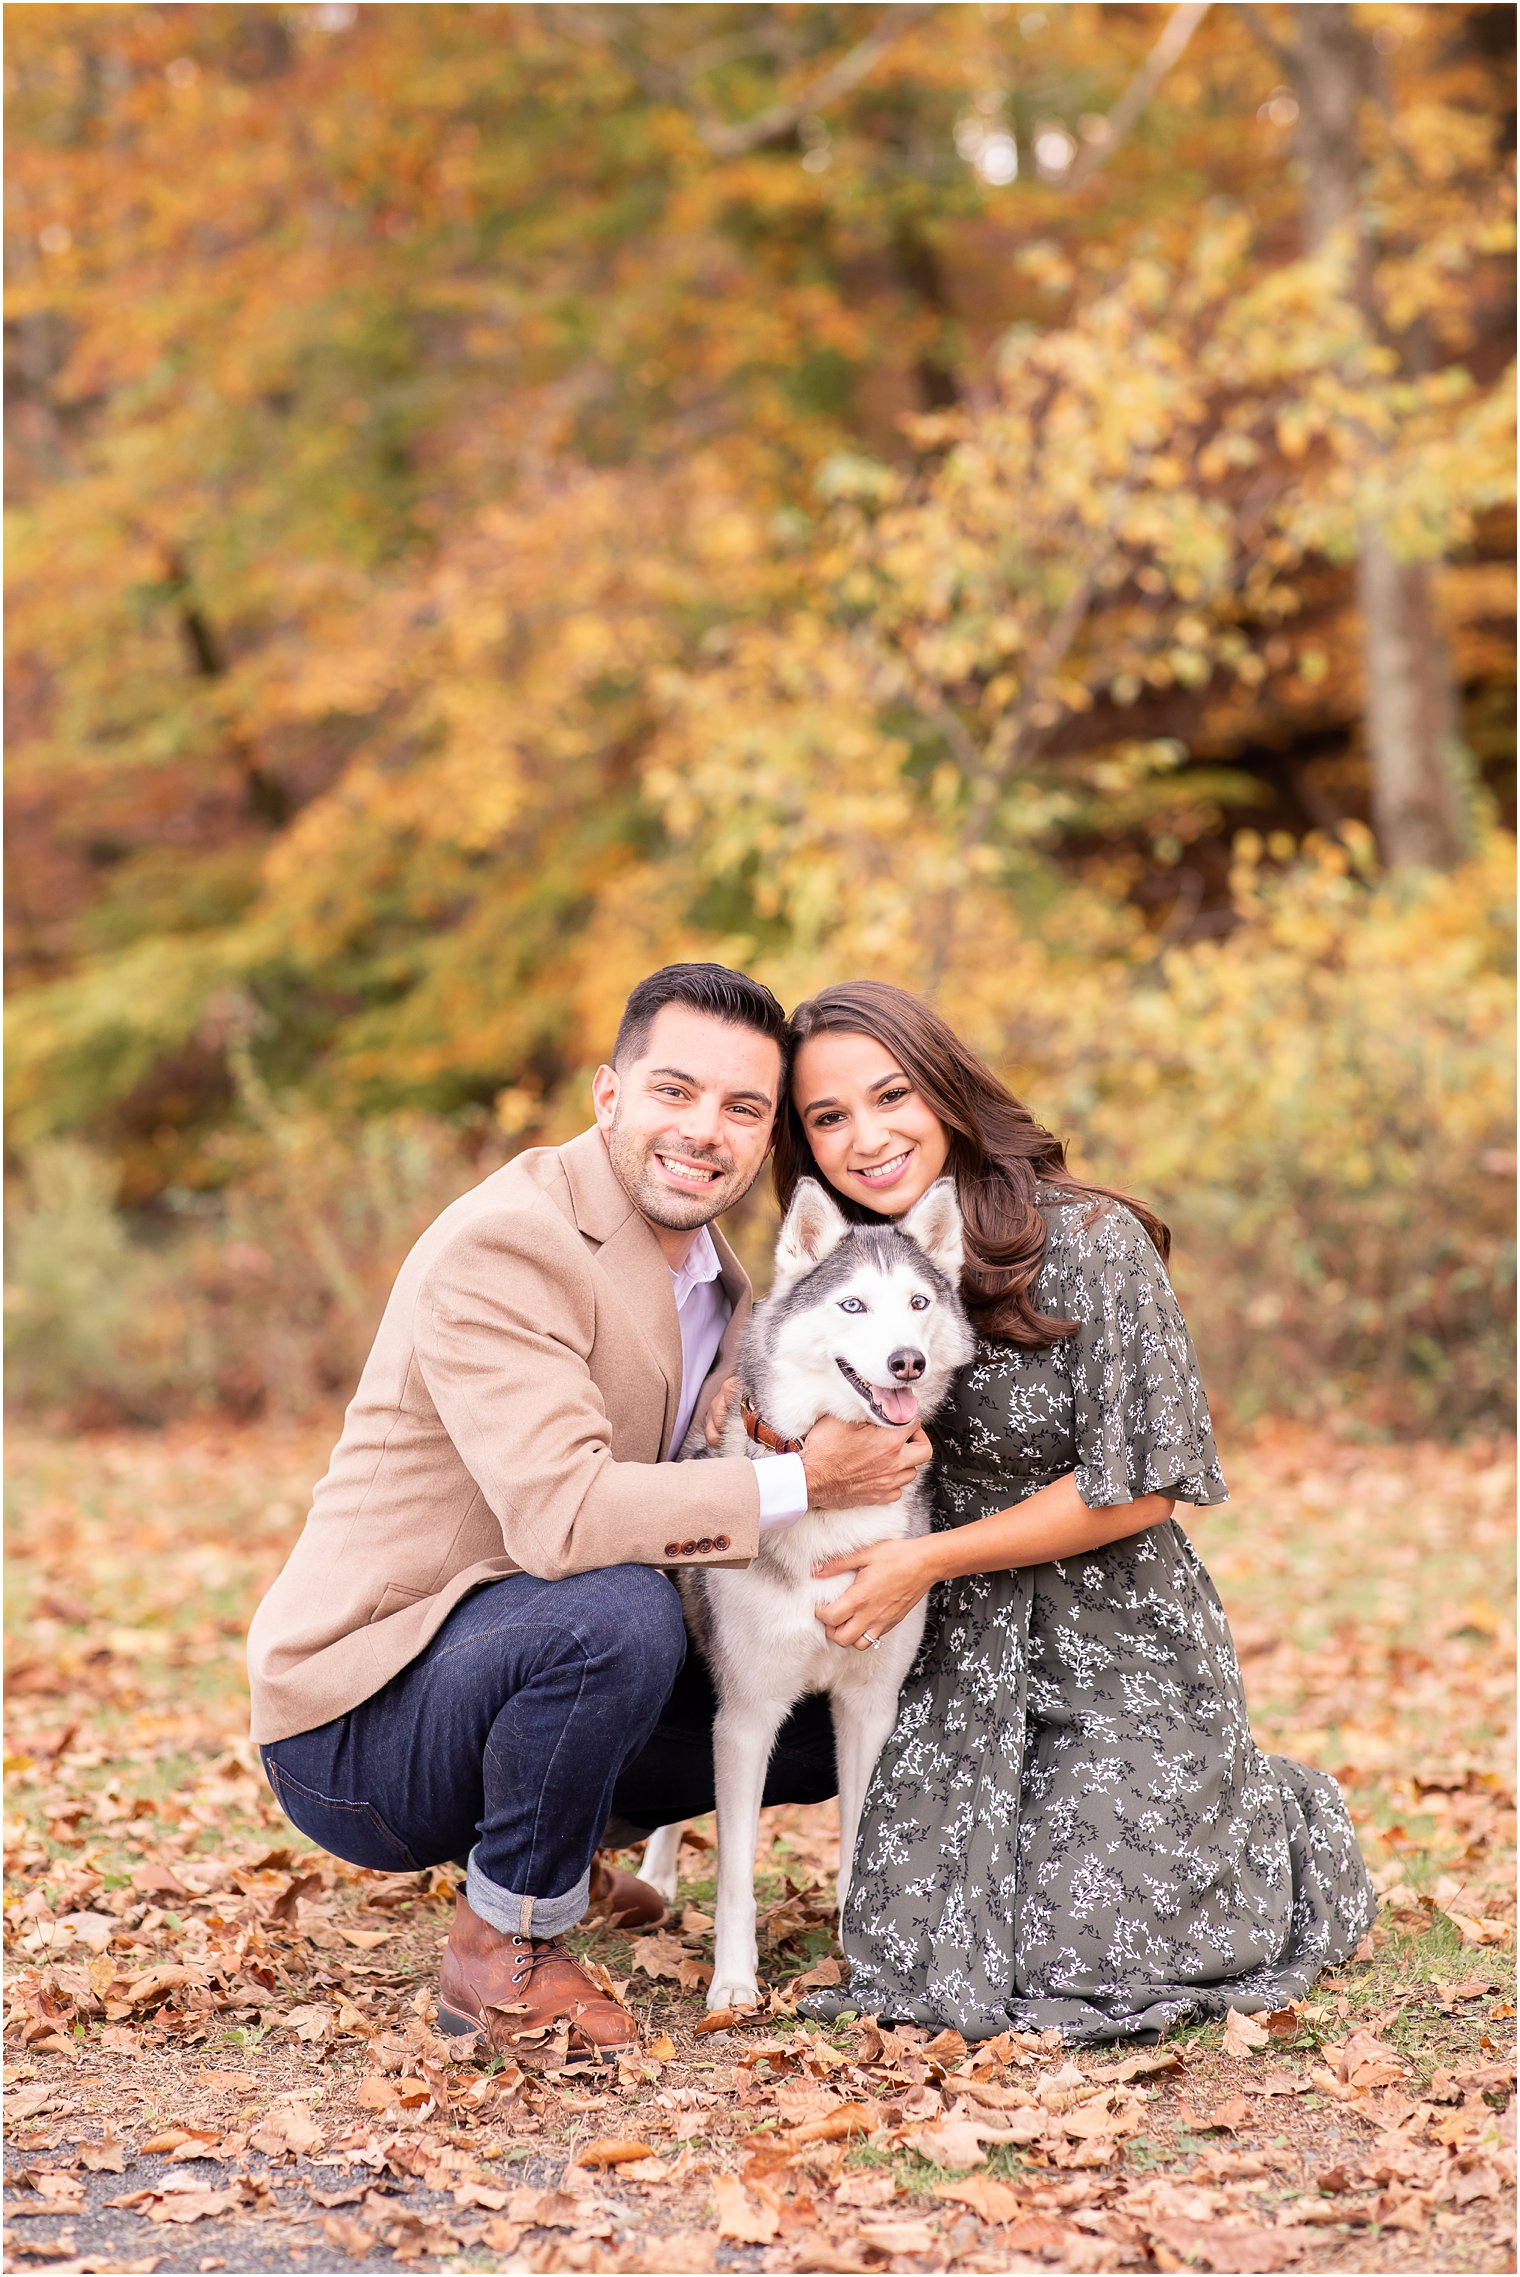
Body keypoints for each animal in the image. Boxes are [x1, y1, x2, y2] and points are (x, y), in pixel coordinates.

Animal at [637, 1174, 973, 2012]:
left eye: (918, 1301)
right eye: (853, 1305)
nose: (907, 1361)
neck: (834, 1523)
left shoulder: (869, 1705)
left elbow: (859, 1842)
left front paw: (860, 1963)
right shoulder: (747, 1715)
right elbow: (735, 1873)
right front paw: (733, 1981)